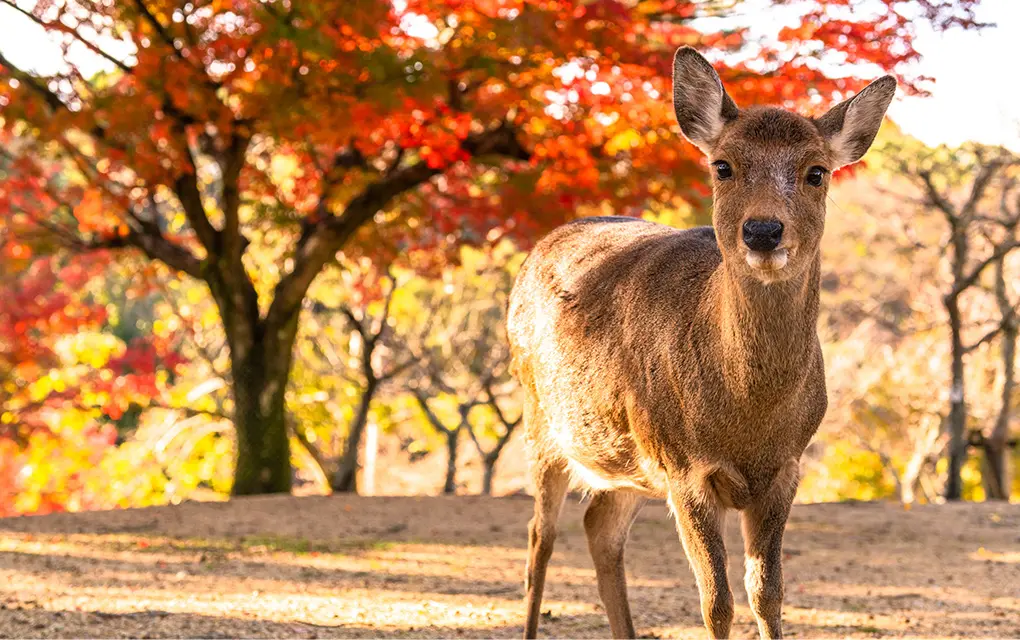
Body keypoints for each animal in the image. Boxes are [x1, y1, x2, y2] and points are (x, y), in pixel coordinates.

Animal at [505, 46, 897, 640]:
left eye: (816, 172)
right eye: (722, 166)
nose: (763, 231)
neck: (747, 420)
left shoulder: (786, 468)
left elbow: (767, 594)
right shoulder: (684, 465)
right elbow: (716, 601)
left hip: (625, 456)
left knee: (600, 527)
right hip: (541, 419)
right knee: (538, 539)